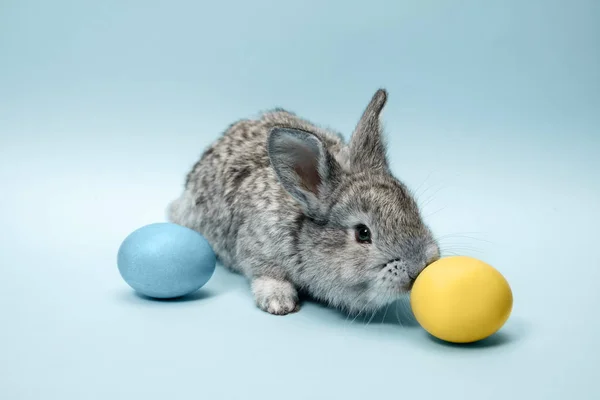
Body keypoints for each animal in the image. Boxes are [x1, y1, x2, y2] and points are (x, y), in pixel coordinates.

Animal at [168, 88, 440, 316]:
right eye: (363, 233)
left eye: (414, 210)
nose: (419, 267)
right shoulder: (257, 248)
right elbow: (265, 272)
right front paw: (279, 302)